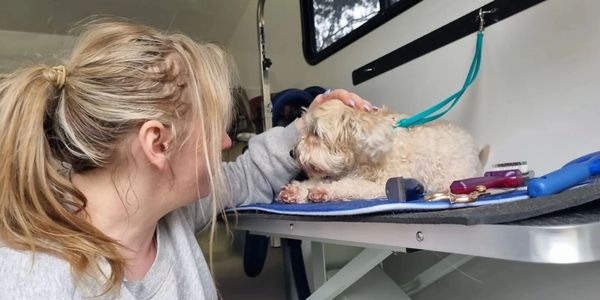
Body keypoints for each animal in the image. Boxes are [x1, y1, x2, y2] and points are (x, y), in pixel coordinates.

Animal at [278, 101, 486, 204]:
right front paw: (296, 190)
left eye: (316, 132)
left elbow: (349, 186)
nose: (291, 153)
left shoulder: (383, 184)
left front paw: (323, 190)